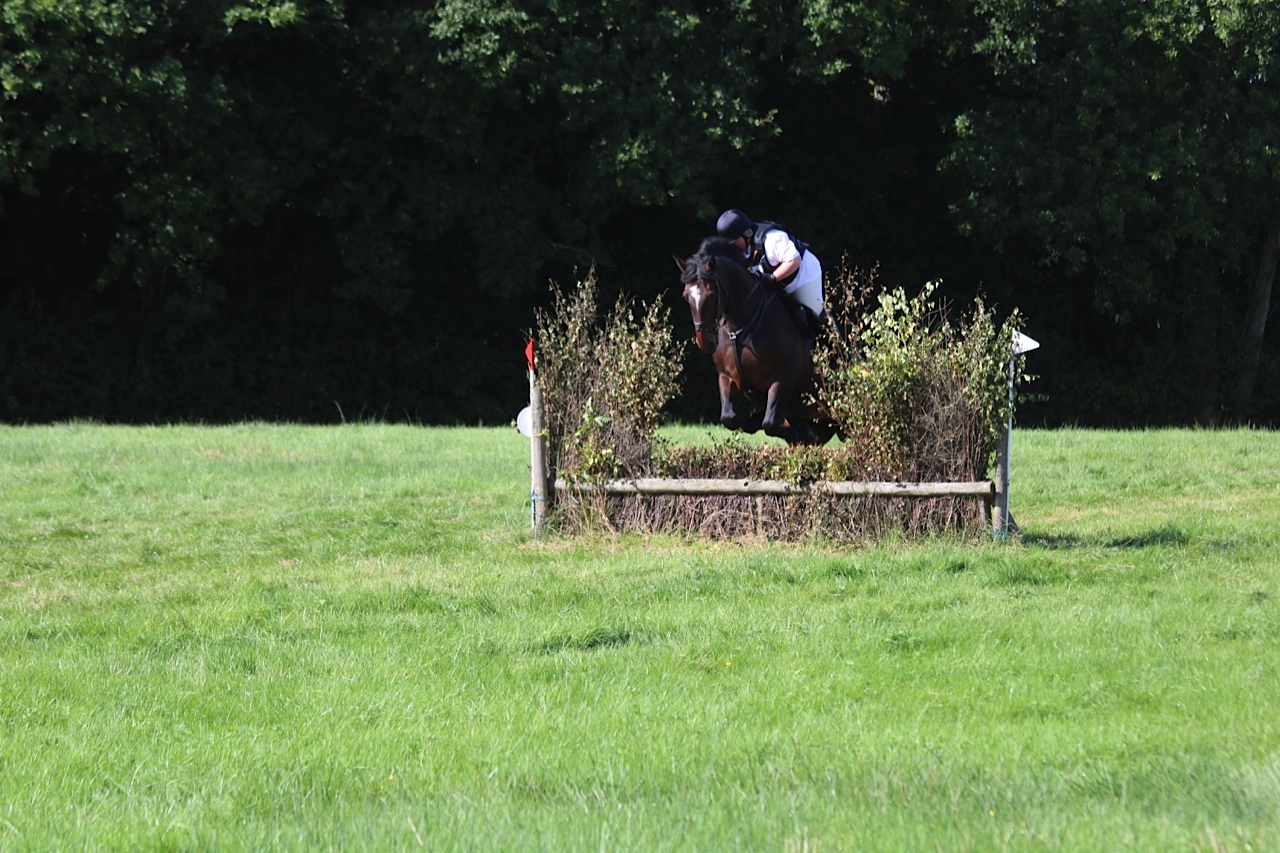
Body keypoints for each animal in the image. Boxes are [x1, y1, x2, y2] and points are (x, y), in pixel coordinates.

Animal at [674, 237, 836, 446]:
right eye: (686, 296)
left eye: (711, 295)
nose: (706, 342)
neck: (740, 327)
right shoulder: (726, 377)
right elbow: (729, 418)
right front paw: (750, 421)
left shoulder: (782, 379)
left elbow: (770, 424)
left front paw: (797, 432)